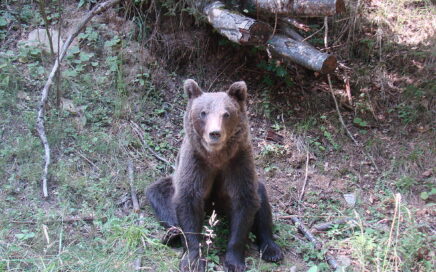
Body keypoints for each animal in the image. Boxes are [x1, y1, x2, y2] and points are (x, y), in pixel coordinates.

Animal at [146, 79, 282, 270]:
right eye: (203, 113)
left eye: (226, 114)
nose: (214, 133)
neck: (216, 157)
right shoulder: (196, 162)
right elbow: (188, 200)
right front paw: (193, 259)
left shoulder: (237, 162)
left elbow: (244, 202)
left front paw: (234, 261)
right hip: (171, 183)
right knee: (159, 194)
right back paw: (172, 234)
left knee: (261, 200)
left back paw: (272, 249)